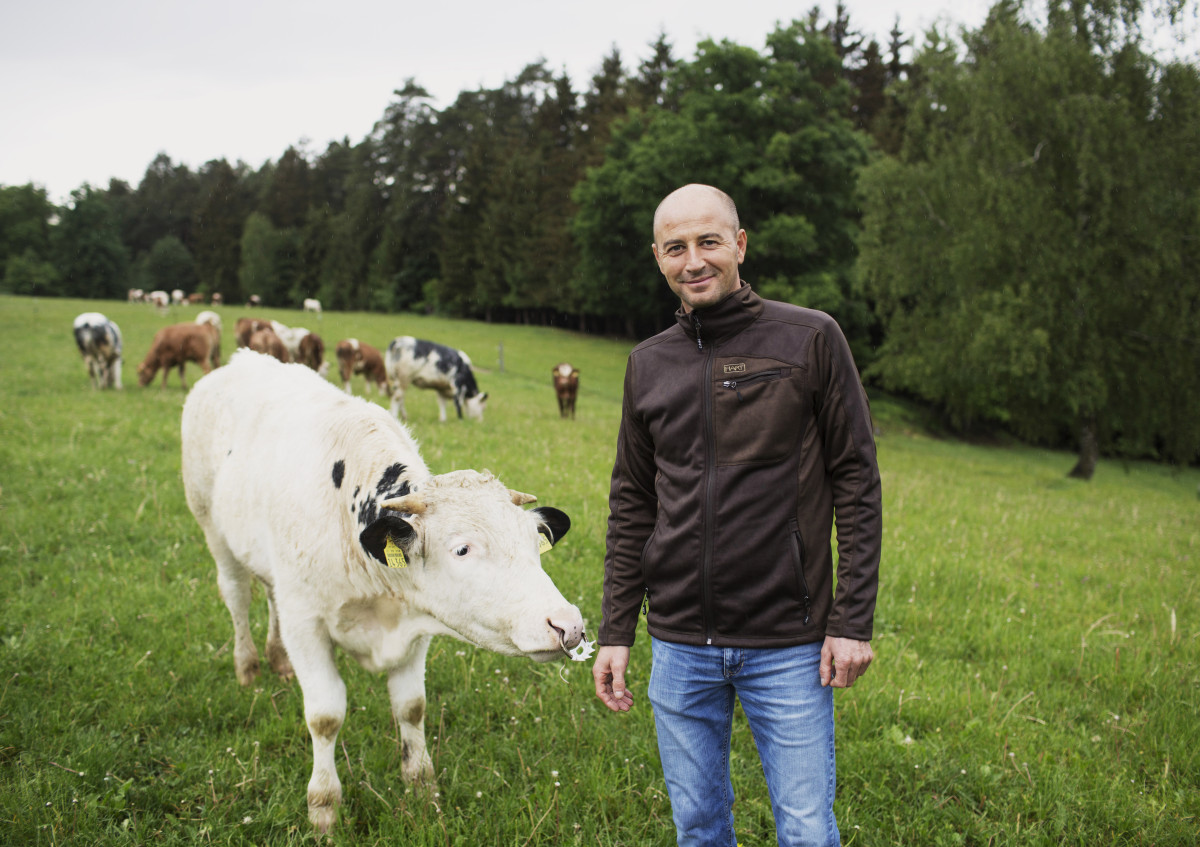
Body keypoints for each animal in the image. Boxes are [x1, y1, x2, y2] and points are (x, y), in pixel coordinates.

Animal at [177, 350, 585, 830]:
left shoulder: (415, 626)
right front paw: (323, 809)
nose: (569, 625)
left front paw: (423, 791)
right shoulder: (306, 624)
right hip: (213, 531)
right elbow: (325, 717)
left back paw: (277, 660)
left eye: (532, 541)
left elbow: (411, 707)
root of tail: (241, 360)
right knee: (238, 598)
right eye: (462, 549)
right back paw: (249, 666)